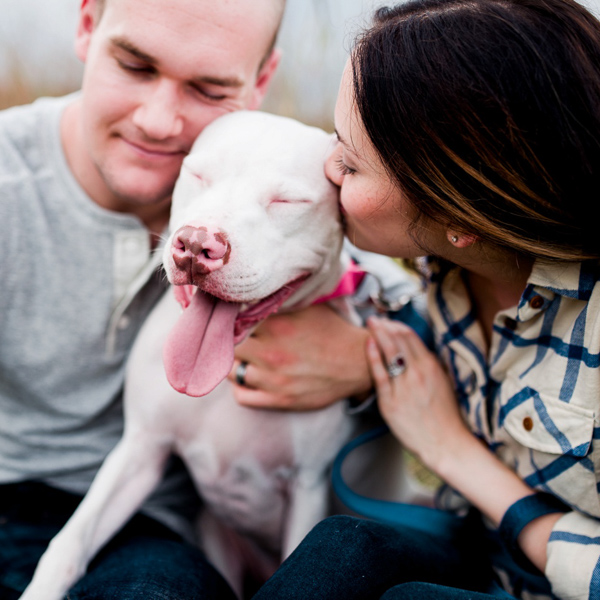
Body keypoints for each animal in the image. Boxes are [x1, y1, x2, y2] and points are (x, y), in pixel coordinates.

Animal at [21, 112, 364, 600]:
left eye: (287, 201)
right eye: (198, 175)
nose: (198, 244)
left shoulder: (308, 487)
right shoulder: (141, 448)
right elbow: (72, 540)